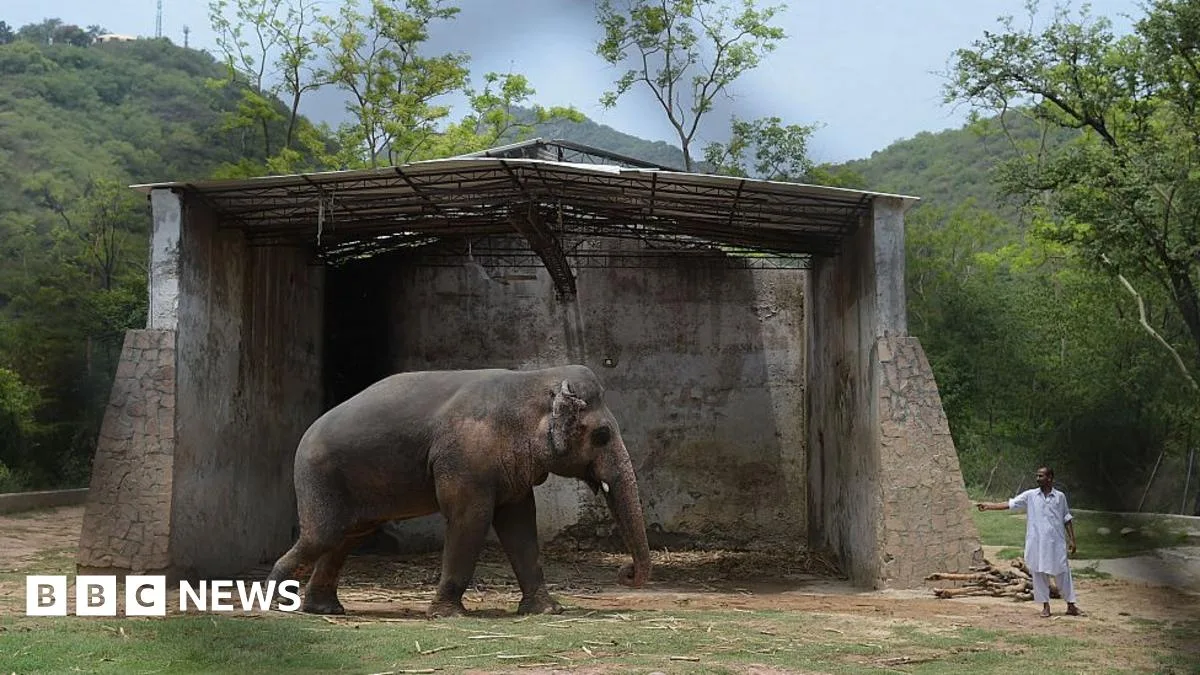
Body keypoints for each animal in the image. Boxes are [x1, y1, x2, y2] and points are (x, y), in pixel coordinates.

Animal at [266, 364, 652, 617]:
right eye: (602, 435)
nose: (625, 573)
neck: (533, 379)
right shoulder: (466, 460)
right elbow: (471, 519)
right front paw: (448, 615)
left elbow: (520, 524)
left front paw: (547, 610)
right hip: (320, 477)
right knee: (323, 536)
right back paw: (277, 601)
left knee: (347, 537)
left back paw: (324, 610)